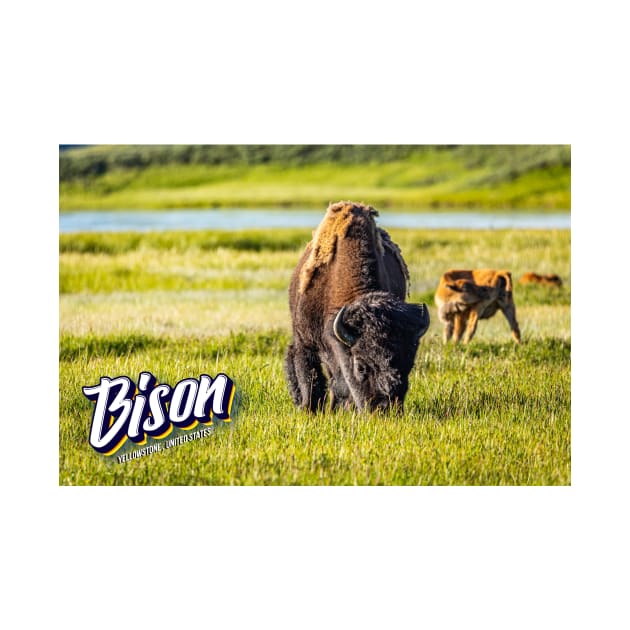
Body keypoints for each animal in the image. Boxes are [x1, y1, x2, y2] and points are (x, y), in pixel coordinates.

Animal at [286, 200, 430, 412]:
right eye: (361, 366)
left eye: (409, 364)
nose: (383, 409)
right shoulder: (305, 342)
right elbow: (310, 379)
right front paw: (308, 409)